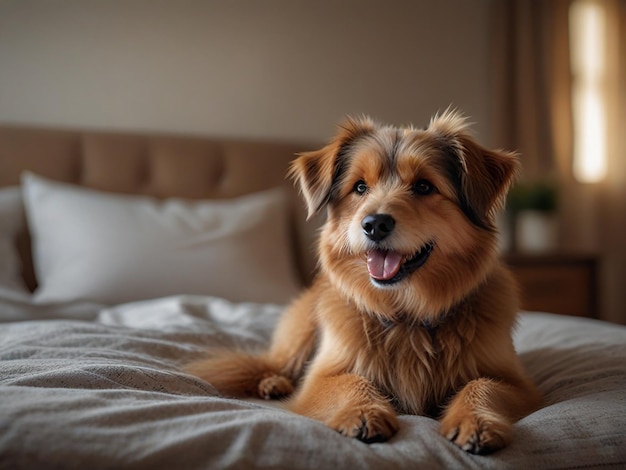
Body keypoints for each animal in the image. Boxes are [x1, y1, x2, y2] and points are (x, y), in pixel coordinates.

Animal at [186, 111, 540, 456]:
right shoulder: (322, 376)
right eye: (359, 187)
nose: (375, 224)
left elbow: (482, 386)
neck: (407, 316)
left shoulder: (516, 383)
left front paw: (476, 420)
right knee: (273, 365)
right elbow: (351, 382)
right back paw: (274, 384)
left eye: (424, 186)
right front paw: (363, 412)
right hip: (300, 333)